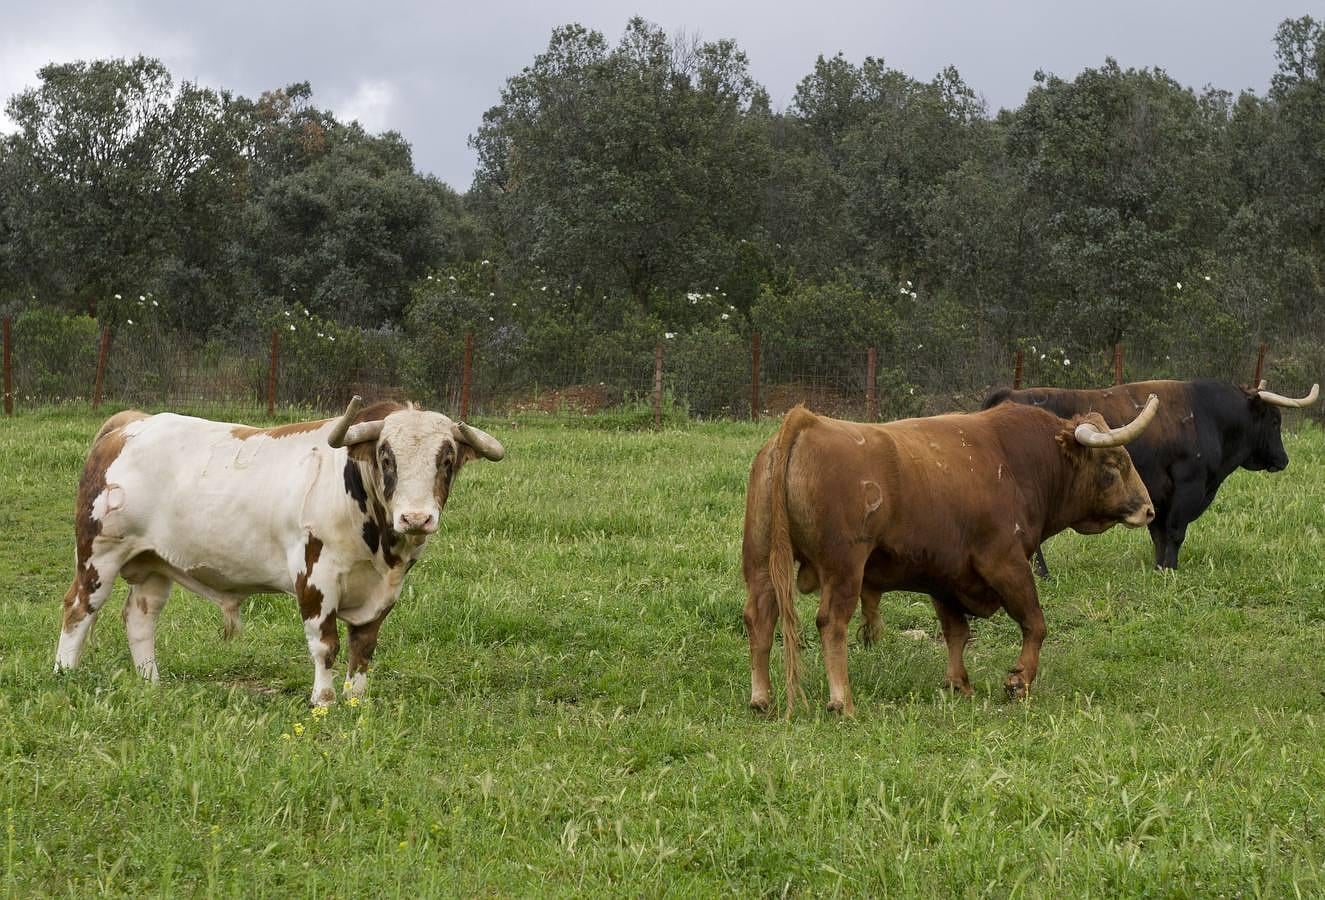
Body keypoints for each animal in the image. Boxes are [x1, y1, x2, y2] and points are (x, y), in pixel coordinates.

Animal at [54, 400, 503, 705]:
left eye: (447, 459)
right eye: (386, 456)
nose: (416, 518)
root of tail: (132, 422)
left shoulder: (384, 591)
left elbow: (363, 647)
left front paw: (356, 702)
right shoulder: (316, 577)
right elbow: (325, 645)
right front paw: (323, 701)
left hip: (154, 565)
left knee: (140, 618)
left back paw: (152, 683)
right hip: (98, 555)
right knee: (78, 608)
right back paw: (64, 674)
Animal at [747, 397, 1160, 715]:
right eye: (1113, 464)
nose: (1149, 510)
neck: (1019, 461)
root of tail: (806, 422)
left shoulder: (944, 577)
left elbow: (956, 632)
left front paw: (959, 684)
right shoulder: (1005, 562)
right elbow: (1035, 623)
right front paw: (1019, 680)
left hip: (761, 563)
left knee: (759, 619)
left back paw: (761, 698)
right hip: (844, 568)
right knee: (831, 622)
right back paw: (842, 702)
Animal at [980, 379, 1298, 569]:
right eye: (1274, 420)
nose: (1283, 459)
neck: (1207, 416)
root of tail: (1010, 394)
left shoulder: (1158, 494)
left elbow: (1159, 533)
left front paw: (1159, 567)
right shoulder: (1188, 486)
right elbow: (1175, 531)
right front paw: (1170, 568)